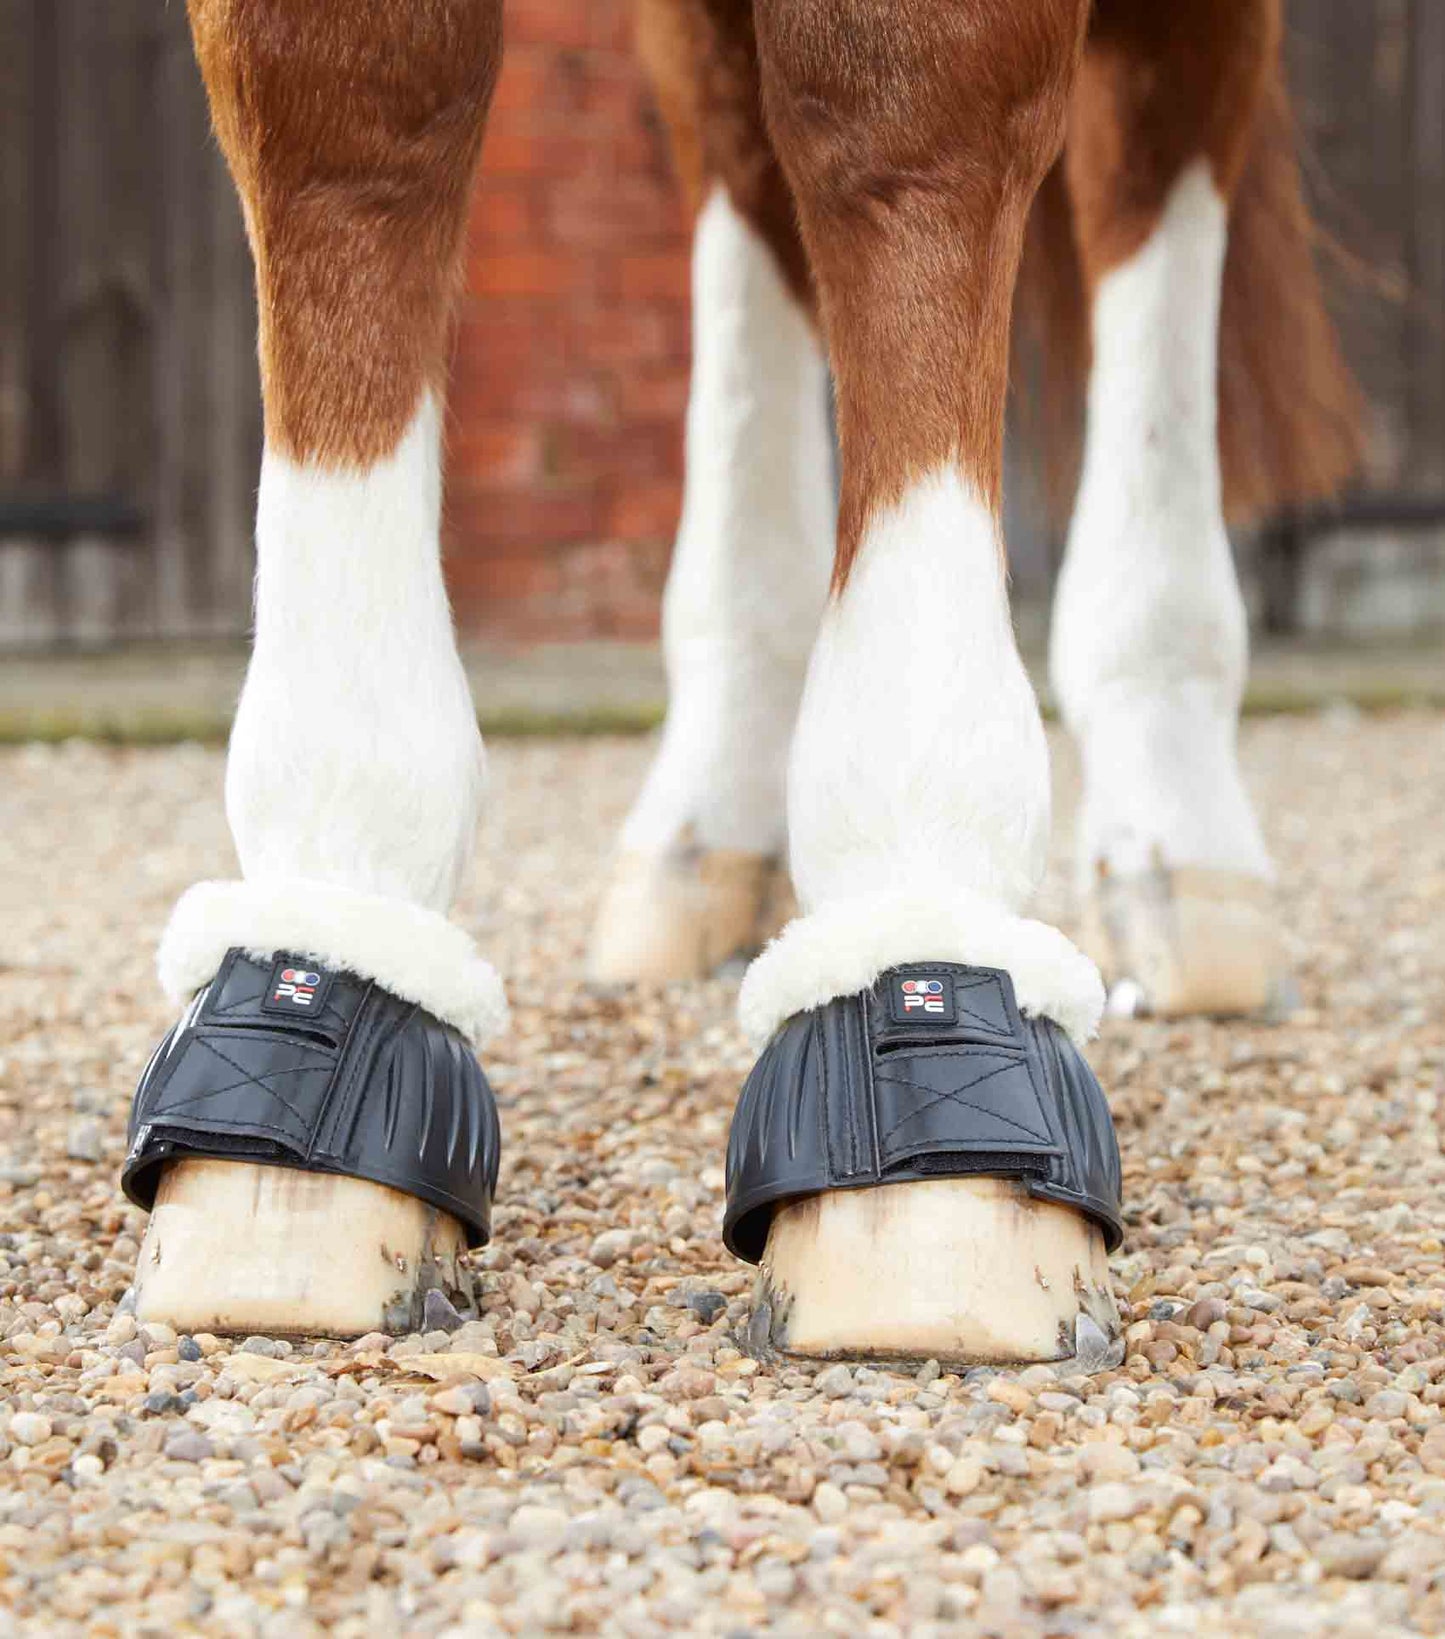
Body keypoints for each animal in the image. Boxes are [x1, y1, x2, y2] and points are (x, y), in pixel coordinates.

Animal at [117, 0, 1356, 1357]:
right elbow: (348, 127)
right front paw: (338, 894)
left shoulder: (924, 94)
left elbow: (904, 121)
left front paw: (918, 867)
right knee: (742, 165)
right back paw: (701, 829)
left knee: (1154, 148)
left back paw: (1179, 843)